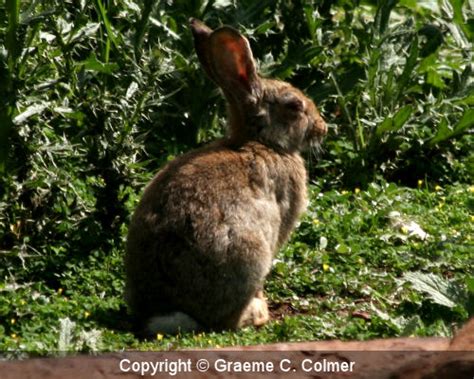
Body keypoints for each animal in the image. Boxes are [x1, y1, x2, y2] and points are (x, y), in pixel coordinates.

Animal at [124, 18, 328, 338]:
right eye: (295, 106)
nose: (323, 128)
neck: (262, 142)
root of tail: (164, 311)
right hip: (250, 254)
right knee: (225, 322)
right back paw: (258, 312)